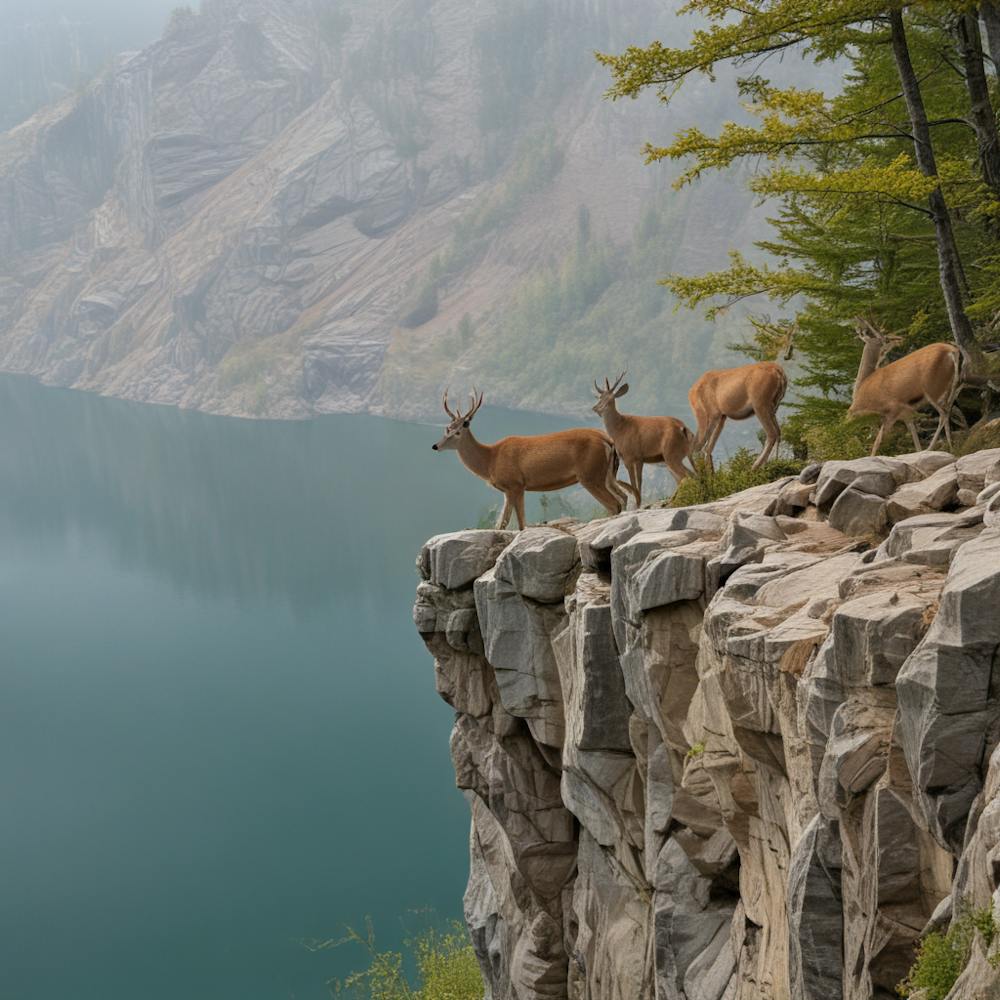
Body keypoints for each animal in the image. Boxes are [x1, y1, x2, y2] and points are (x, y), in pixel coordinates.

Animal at [431, 390, 629, 530]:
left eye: (457, 432)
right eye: (446, 428)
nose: (435, 446)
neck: (491, 460)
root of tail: (607, 440)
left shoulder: (515, 484)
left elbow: (517, 524)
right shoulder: (511, 489)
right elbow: (505, 523)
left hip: (590, 474)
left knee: (614, 504)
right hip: (607, 475)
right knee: (623, 497)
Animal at [592, 372, 695, 508]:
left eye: (610, 398)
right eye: (600, 397)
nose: (596, 408)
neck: (619, 430)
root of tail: (684, 429)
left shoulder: (631, 456)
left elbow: (635, 483)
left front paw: (637, 504)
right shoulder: (638, 458)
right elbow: (638, 482)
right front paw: (639, 503)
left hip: (671, 454)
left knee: (686, 476)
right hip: (680, 455)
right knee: (692, 474)